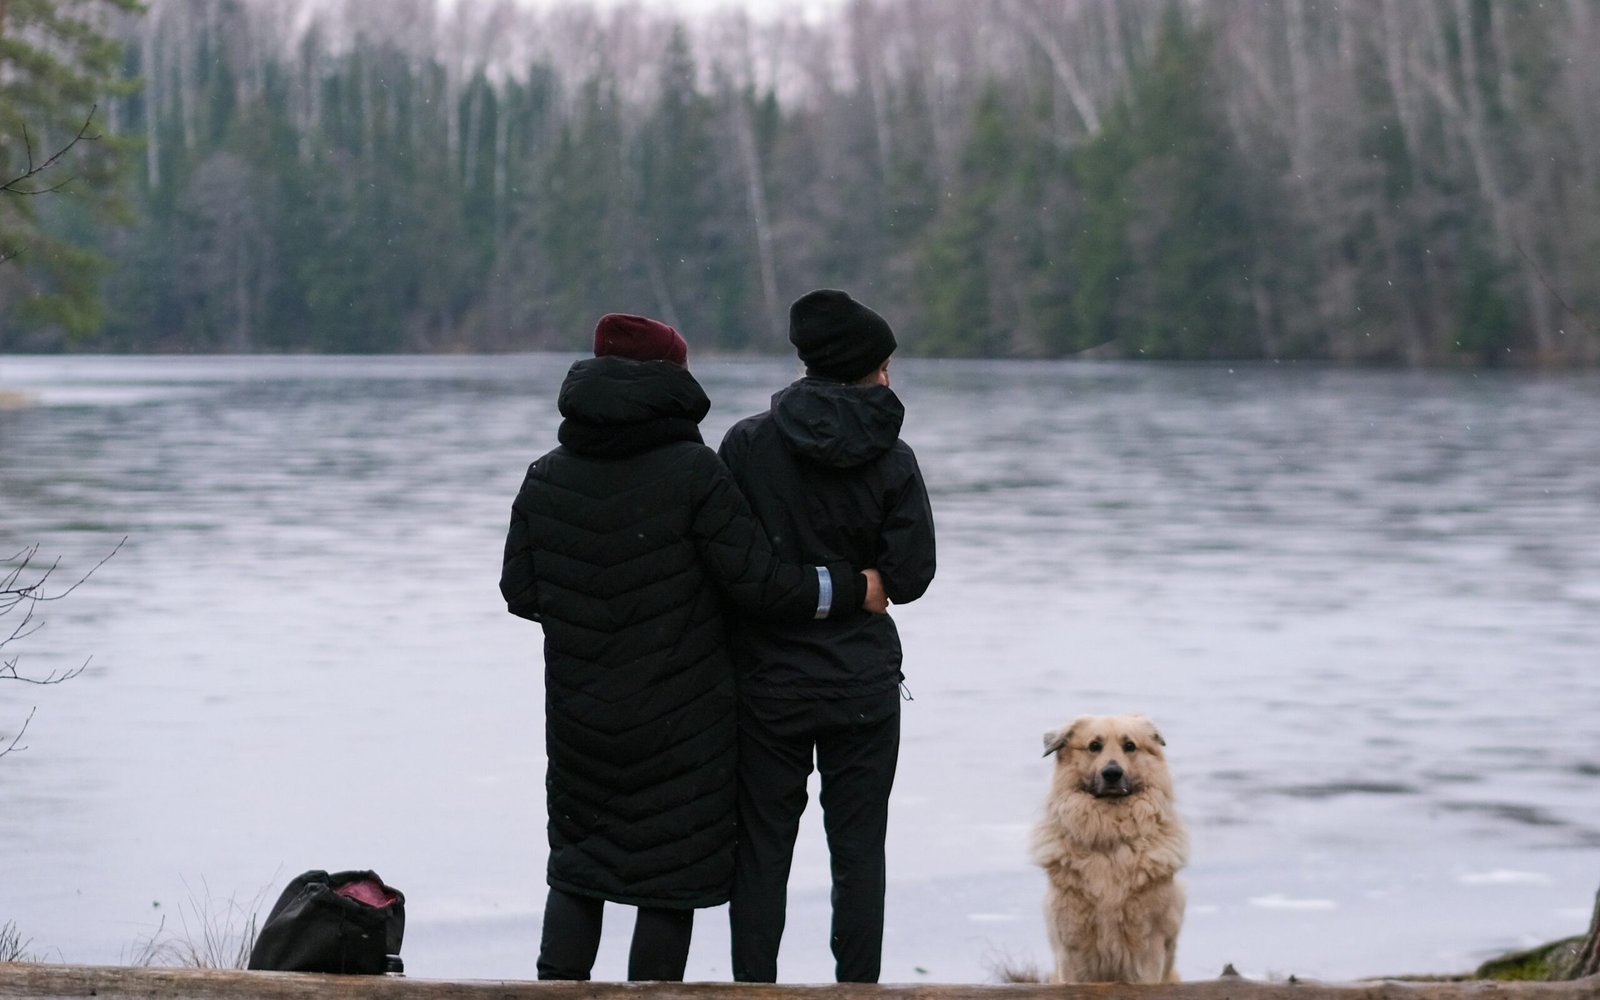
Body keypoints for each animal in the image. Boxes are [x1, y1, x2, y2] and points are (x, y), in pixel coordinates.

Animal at [1024, 710, 1190, 985]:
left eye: (1129, 746)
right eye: (1094, 746)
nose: (1112, 773)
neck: (1110, 838)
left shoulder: (1148, 947)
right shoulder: (1073, 947)